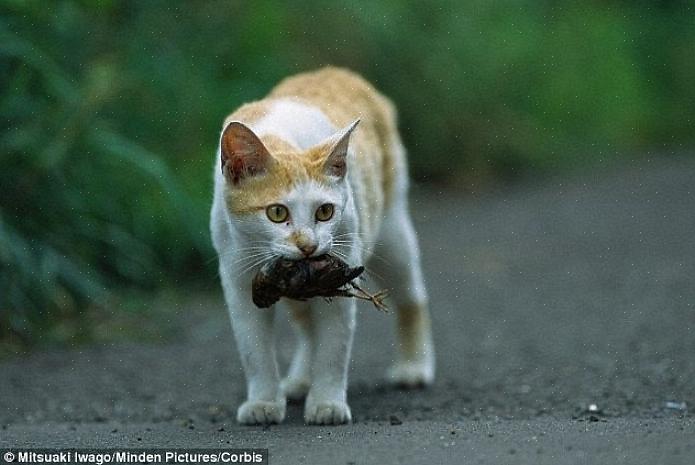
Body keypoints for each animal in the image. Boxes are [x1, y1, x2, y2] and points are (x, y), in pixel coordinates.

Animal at [209, 65, 436, 424]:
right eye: (277, 212)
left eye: (325, 211)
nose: (308, 245)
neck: (282, 139)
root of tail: (338, 71)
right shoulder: (240, 281)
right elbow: (254, 351)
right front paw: (263, 402)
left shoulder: (340, 274)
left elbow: (333, 348)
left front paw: (327, 403)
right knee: (307, 328)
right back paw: (300, 380)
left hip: (392, 233)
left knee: (413, 295)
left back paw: (414, 367)